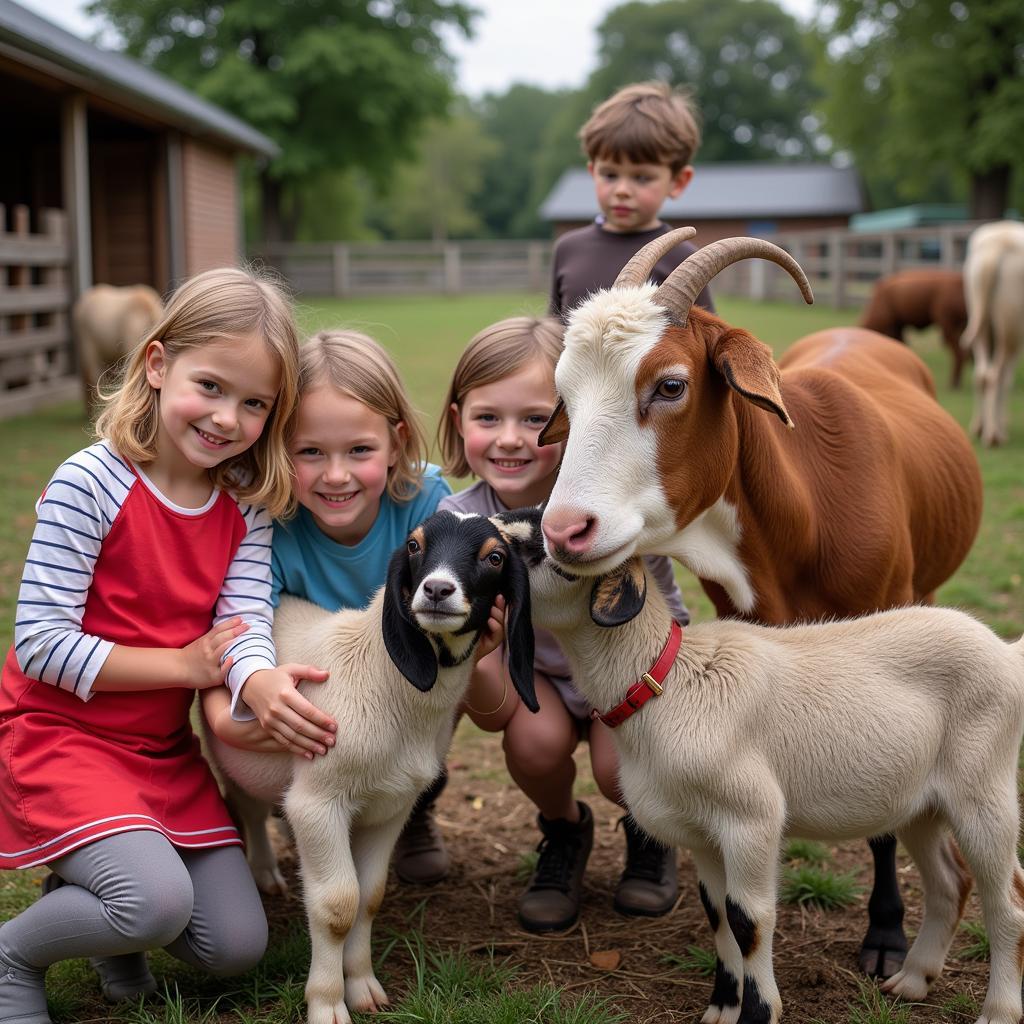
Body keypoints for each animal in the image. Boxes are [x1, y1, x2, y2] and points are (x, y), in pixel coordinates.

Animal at [206, 512, 536, 1024]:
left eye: (495, 557)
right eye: (415, 545)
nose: (437, 590)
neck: (385, 682)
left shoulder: (391, 807)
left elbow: (369, 897)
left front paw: (362, 987)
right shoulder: (318, 803)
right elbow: (337, 904)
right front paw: (327, 1004)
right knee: (249, 807)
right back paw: (264, 872)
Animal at [491, 505, 1019, 1024]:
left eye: (544, 551)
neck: (670, 681)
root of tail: (1006, 652)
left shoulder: (751, 819)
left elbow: (749, 918)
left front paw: (757, 1013)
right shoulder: (701, 833)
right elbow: (718, 913)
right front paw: (722, 1007)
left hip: (983, 788)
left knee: (1008, 901)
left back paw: (998, 1010)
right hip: (920, 804)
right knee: (950, 883)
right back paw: (912, 980)